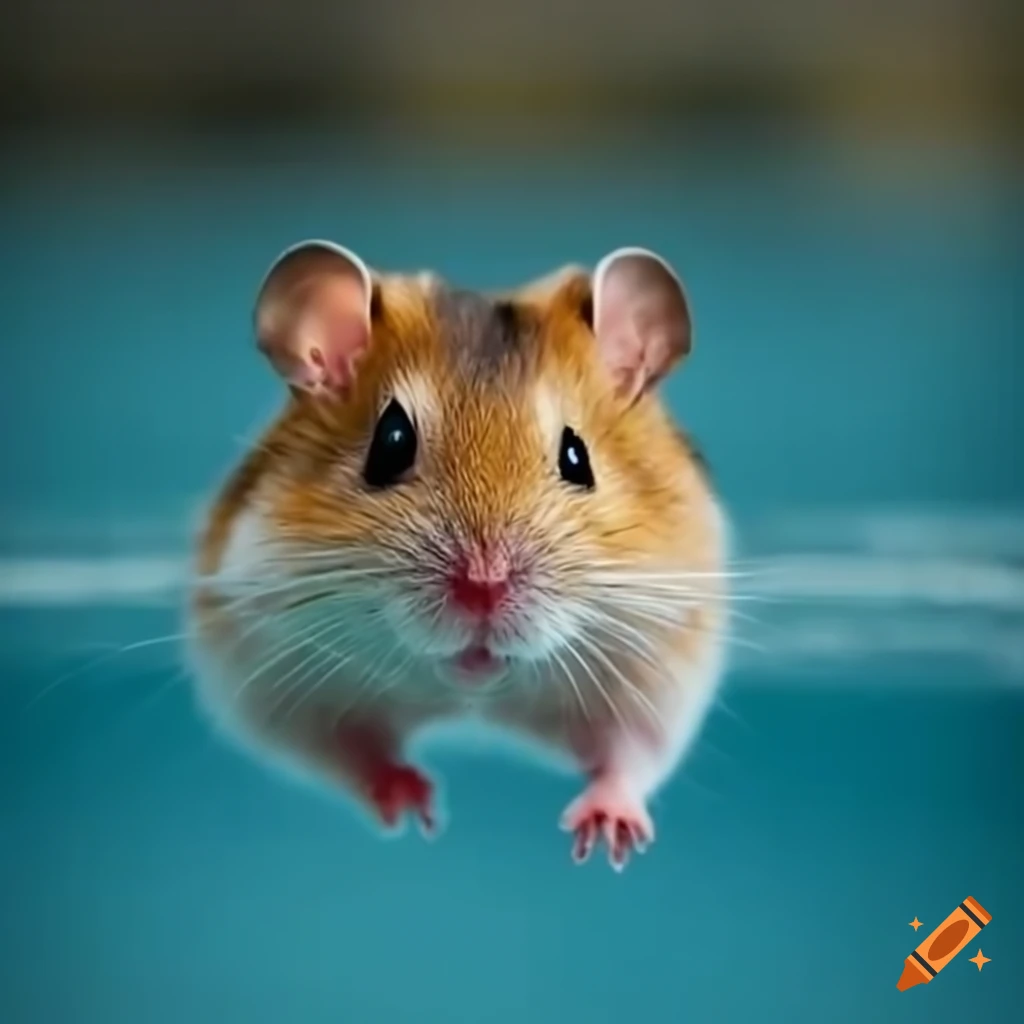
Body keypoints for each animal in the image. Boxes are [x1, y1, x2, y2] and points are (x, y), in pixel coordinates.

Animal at [188, 240, 728, 870]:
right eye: (391, 442)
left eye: (577, 457)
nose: (483, 587)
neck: (471, 695)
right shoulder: (271, 680)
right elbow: (346, 751)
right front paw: (417, 811)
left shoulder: (662, 669)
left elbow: (631, 756)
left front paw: (603, 841)